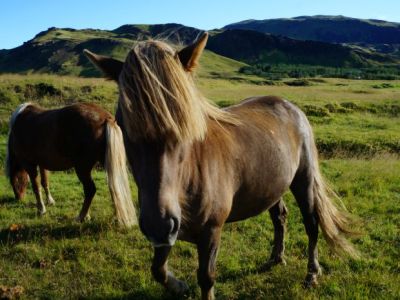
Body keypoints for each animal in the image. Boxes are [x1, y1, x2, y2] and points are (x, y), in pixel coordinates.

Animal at [5, 102, 137, 227]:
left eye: (13, 182)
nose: (18, 199)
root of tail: (105, 118)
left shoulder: (29, 164)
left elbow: (36, 186)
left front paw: (41, 210)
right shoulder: (42, 164)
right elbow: (44, 182)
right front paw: (50, 201)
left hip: (82, 168)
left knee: (90, 190)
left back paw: (82, 217)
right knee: (114, 186)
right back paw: (116, 216)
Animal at [86, 33, 358, 300]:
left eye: (184, 123)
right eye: (123, 124)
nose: (157, 225)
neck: (191, 176)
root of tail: (290, 106)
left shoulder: (209, 232)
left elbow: (206, 278)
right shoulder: (168, 229)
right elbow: (158, 269)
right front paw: (179, 286)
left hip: (304, 181)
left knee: (311, 225)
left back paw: (312, 273)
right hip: (271, 185)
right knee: (279, 217)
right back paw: (276, 258)